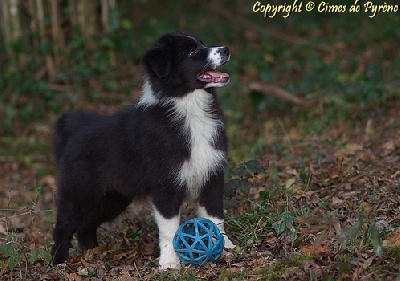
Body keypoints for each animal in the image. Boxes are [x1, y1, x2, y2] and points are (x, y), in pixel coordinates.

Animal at [52, 29, 236, 268]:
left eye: (202, 43)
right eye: (192, 51)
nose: (226, 49)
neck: (189, 106)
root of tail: (73, 130)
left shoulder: (212, 173)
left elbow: (215, 216)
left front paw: (225, 246)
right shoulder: (165, 184)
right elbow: (169, 227)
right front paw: (169, 262)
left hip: (111, 198)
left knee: (86, 226)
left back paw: (94, 252)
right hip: (79, 192)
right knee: (63, 226)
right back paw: (59, 261)